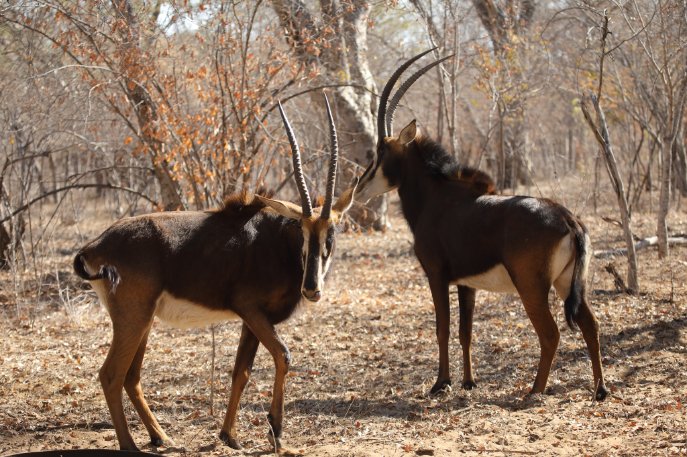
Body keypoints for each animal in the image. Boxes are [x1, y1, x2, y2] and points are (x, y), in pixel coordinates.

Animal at [73, 95, 356, 452]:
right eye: (301, 232)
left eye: (331, 233)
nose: (312, 289)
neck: (279, 243)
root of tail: (94, 247)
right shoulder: (250, 309)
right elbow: (283, 356)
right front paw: (275, 432)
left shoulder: (253, 320)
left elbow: (241, 373)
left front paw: (229, 436)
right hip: (133, 318)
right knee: (111, 375)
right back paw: (131, 446)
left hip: (142, 321)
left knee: (131, 377)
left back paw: (161, 436)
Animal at [355, 49, 608, 401]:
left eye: (381, 150)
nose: (359, 187)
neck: (436, 196)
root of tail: (568, 219)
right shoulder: (466, 283)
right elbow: (466, 332)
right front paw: (468, 381)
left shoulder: (436, 275)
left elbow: (443, 329)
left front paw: (441, 383)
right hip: (566, 282)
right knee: (590, 324)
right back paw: (600, 390)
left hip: (531, 286)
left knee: (551, 333)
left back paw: (534, 391)